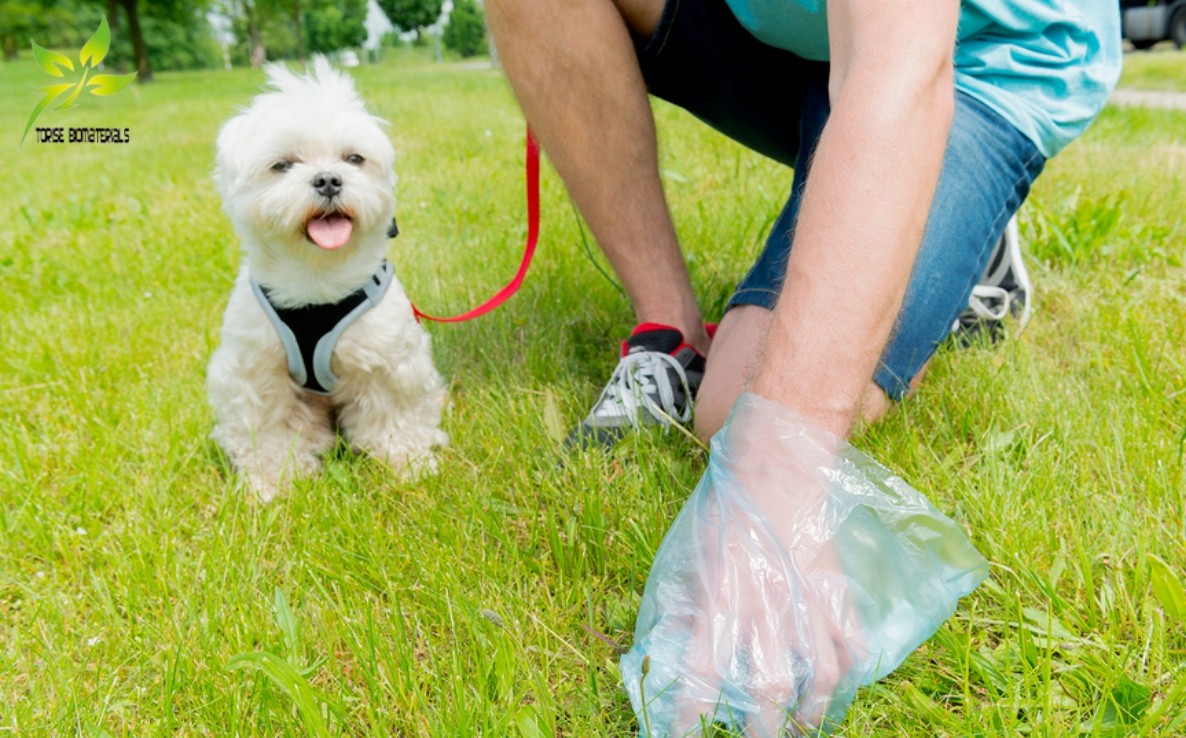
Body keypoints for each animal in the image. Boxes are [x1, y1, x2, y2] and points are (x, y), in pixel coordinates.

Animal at [206, 54, 445, 500]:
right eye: (283, 165)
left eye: (353, 159)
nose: (329, 179)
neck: (316, 280)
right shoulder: (255, 372)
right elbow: (268, 431)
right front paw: (272, 483)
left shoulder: (389, 359)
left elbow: (396, 417)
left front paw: (409, 463)